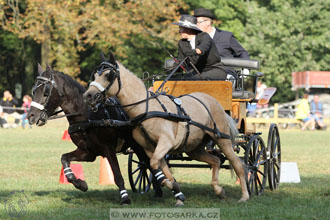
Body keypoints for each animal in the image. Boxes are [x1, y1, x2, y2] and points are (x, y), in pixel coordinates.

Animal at [26, 64, 160, 205]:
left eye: (46, 91)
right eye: (34, 90)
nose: (31, 116)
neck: (87, 116)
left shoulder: (108, 149)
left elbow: (117, 174)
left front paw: (125, 198)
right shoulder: (88, 152)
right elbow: (64, 159)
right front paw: (80, 184)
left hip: (139, 145)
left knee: (150, 163)